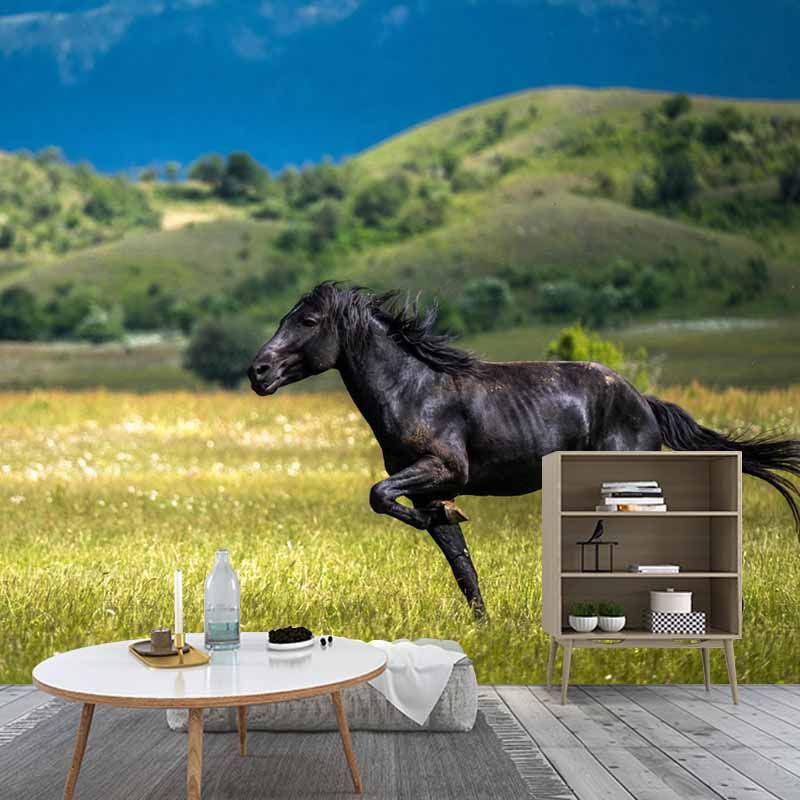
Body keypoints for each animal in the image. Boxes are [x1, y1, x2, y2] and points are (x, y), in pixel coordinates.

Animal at [248, 282, 800, 619]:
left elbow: (379, 494)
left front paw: (454, 514)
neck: (415, 389)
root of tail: (643, 402)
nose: (258, 372)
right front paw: (481, 622)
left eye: (308, 321)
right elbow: (460, 563)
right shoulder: (426, 487)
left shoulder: (443, 469)